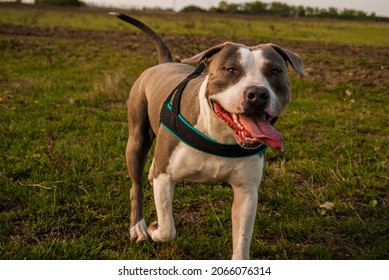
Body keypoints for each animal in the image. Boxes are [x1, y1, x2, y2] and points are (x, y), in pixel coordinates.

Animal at [110, 12, 304, 260]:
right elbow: (167, 229)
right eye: (231, 70)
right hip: (137, 138)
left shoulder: (246, 192)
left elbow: (242, 242)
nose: (257, 94)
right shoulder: (166, 176)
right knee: (136, 185)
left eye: (275, 71)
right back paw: (138, 227)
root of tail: (163, 64)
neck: (220, 133)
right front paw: (153, 229)